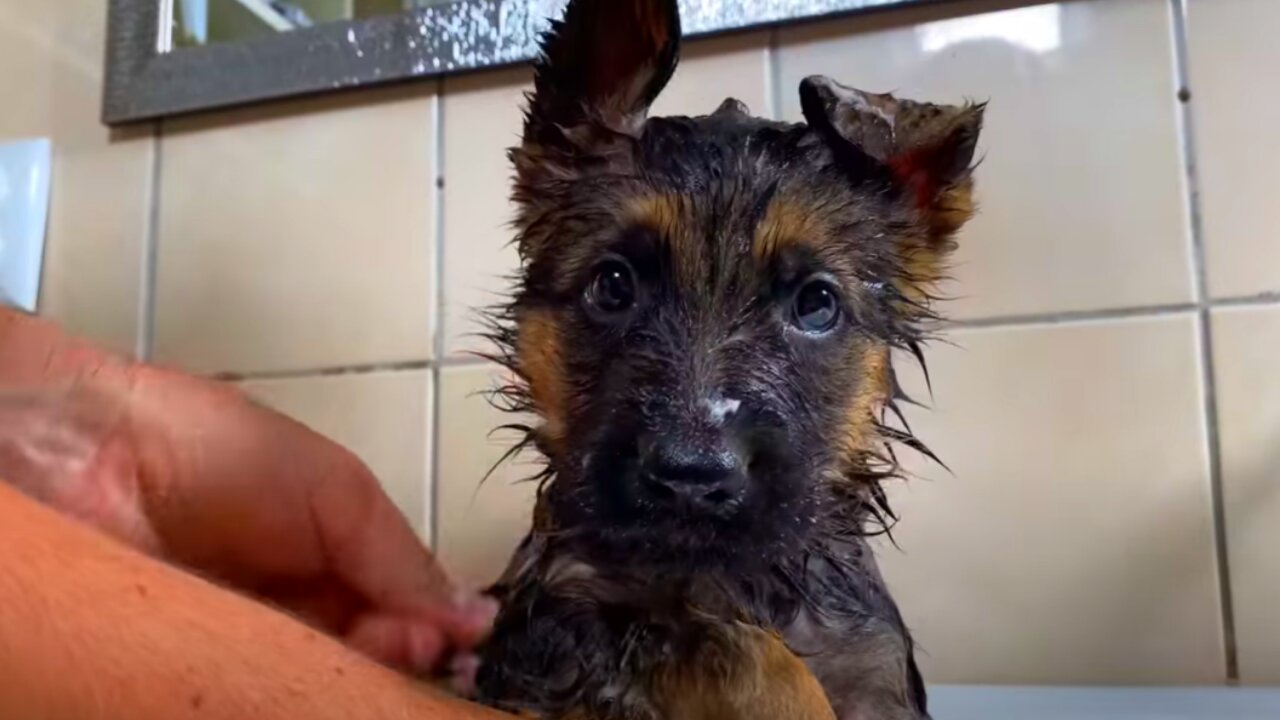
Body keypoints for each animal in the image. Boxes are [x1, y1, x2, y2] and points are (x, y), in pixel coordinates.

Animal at [476, 1, 983, 712]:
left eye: (816, 304)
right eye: (613, 285)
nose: (690, 475)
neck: (728, 581)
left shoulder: (873, 668)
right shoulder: (553, 631)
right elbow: (723, 641)